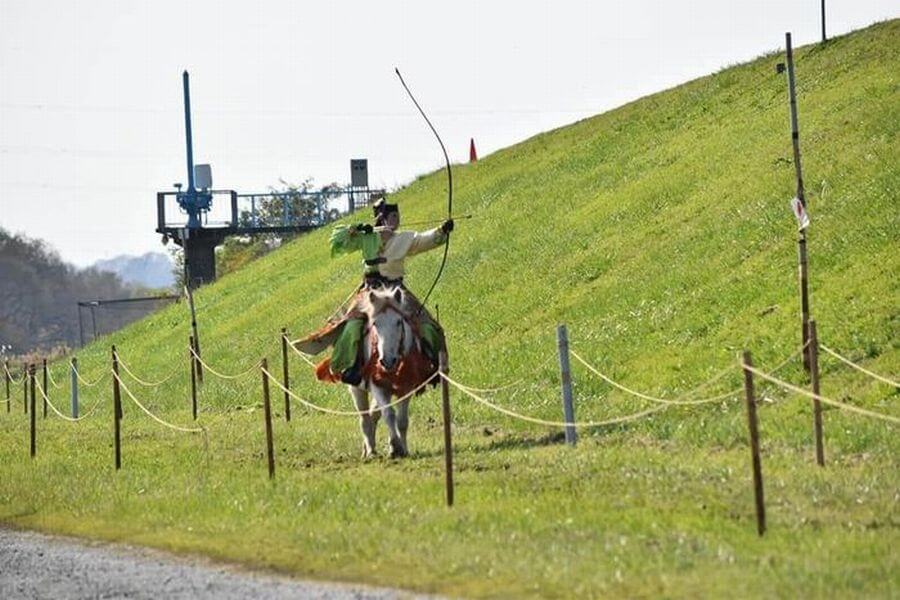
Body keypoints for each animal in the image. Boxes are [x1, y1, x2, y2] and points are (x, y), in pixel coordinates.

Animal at [348, 288, 426, 458]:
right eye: (375, 323)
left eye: (398, 322)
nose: (387, 361)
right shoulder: (377, 387)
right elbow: (389, 414)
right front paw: (395, 446)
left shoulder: (406, 388)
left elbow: (402, 420)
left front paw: (402, 448)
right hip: (357, 390)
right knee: (365, 418)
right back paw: (369, 451)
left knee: (373, 414)